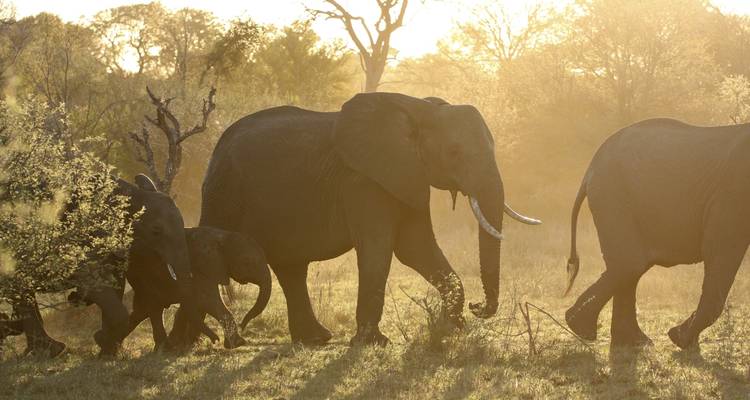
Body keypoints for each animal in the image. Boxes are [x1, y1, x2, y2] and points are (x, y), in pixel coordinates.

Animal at [2, 174, 193, 357]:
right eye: (156, 231)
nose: (73, 297)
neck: (130, 193)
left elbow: (116, 285)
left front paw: (107, 350)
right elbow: (93, 282)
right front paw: (102, 340)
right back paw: (50, 351)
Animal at [124, 226, 271, 351]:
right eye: (247, 262)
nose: (242, 325)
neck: (221, 236)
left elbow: (197, 303)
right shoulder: (201, 267)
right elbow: (206, 300)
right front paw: (238, 343)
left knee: (141, 312)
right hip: (145, 277)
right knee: (153, 309)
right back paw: (164, 349)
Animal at [186, 92, 541, 345]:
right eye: (454, 152)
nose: (478, 307)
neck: (420, 109)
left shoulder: (406, 174)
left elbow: (415, 248)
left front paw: (454, 327)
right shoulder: (363, 181)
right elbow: (380, 247)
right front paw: (374, 343)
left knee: (292, 269)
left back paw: (315, 339)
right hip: (223, 192)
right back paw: (187, 345)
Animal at [564, 118, 750, 349]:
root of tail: (589, 170)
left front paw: (680, 338)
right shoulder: (732, 194)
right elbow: (719, 249)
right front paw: (680, 339)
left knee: (632, 266)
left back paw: (631, 340)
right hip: (612, 195)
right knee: (630, 263)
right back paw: (583, 328)